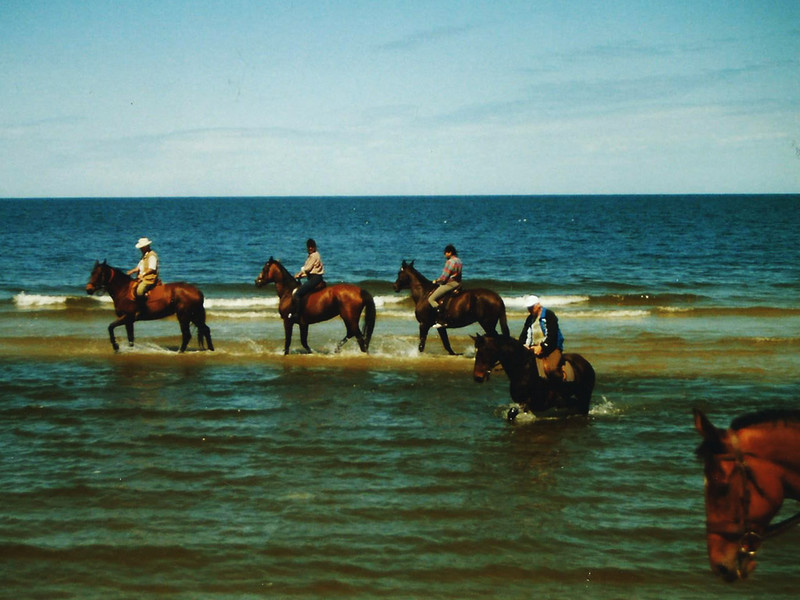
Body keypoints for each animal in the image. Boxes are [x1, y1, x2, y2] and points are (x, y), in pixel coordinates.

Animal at [86, 262, 214, 354]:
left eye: (99, 274)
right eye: (92, 272)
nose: (88, 289)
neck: (124, 290)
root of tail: (197, 292)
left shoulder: (127, 317)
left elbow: (110, 327)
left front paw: (116, 346)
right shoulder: (129, 321)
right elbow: (130, 337)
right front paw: (130, 349)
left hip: (184, 316)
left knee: (187, 334)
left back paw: (180, 352)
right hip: (194, 316)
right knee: (205, 330)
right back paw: (211, 349)